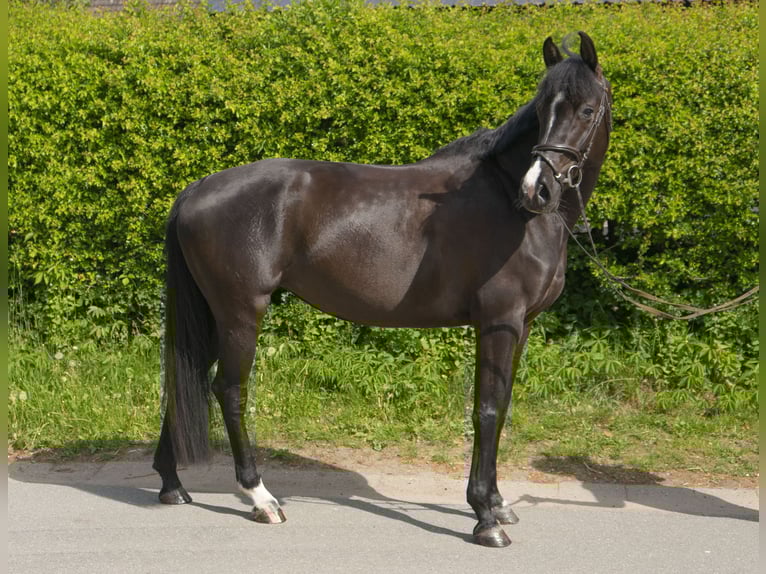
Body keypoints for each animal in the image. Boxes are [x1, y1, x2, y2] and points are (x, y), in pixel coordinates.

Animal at [154, 31, 612, 548]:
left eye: (586, 110)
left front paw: (497, 503)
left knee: (185, 378)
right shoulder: (499, 323)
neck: (508, 205)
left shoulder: (522, 327)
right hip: (240, 315)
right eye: (542, 107)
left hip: (212, 317)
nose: (538, 190)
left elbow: (503, 405)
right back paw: (260, 498)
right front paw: (484, 517)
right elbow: (488, 410)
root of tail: (196, 189)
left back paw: (172, 485)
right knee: (229, 391)